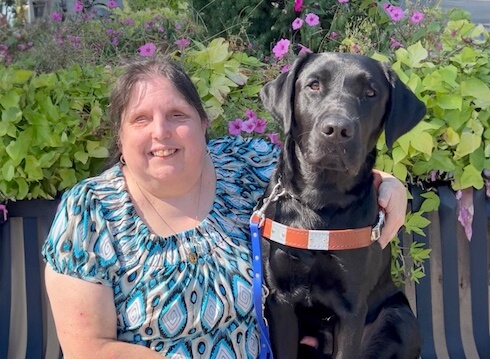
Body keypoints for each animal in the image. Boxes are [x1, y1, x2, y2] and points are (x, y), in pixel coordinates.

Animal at [258, 52, 426, 358]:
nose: (337, 130)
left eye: (371, 93)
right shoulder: (279, 299)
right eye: (313, 85)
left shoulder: (352, 308)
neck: (320, 203)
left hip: (401, 317)